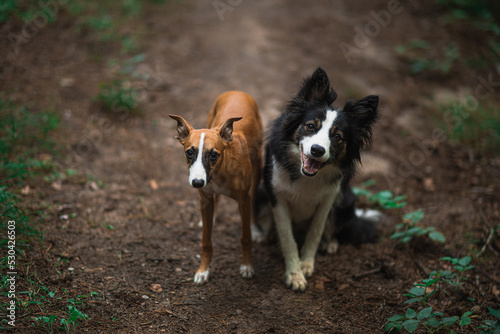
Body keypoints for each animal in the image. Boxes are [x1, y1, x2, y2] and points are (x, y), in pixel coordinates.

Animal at [170, 90, 264, 284]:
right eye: (189, 152)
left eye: (214, 154)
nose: (197, 183)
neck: (220, 172)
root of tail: (237, 91)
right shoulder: (205, 198)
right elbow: (206, 240)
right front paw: (203, 270)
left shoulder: (243, 200)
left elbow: (245, 237)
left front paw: (247, 265)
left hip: (258, 165)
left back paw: (255, 229)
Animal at [262, 67, 378, 290]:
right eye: (310, 126)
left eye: (338, 137)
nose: (317, 150)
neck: (306, 176)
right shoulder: (277, 195)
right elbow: (287, 237)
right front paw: (295, 274)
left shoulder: (329, 198)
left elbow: (315, 231)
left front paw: (306, 265)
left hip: (345, 198)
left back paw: (330, 243)